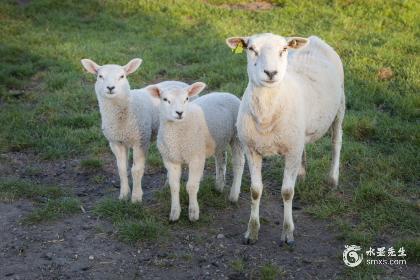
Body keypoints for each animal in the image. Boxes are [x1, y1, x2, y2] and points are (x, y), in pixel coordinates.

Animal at [147, 82, 246, 222]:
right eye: (165, 99)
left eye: (186, 98)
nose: (179, 112)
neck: (177, 137)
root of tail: (227, 93)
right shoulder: (170, 160)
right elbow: (174, 186)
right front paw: (174, 213)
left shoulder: (196, 158)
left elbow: (192, 186)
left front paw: (193, 213)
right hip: (219, 139)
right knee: (221, 158)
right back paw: (219, 186)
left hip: (236, 136)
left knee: (239, 162)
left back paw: (234, 195)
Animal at [226, 33, 344, 245]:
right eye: (251, 49)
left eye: (283, 49)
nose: (271, 72)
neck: (266, 116)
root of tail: (314, 38)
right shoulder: (251, 150)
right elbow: (255, 190)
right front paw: (252, 231)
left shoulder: (290, 151)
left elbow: (287, 192)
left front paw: (288, 233)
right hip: (298, 135)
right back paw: (302, 173)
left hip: (340, 105)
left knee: (336, 142)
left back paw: (332, 179)